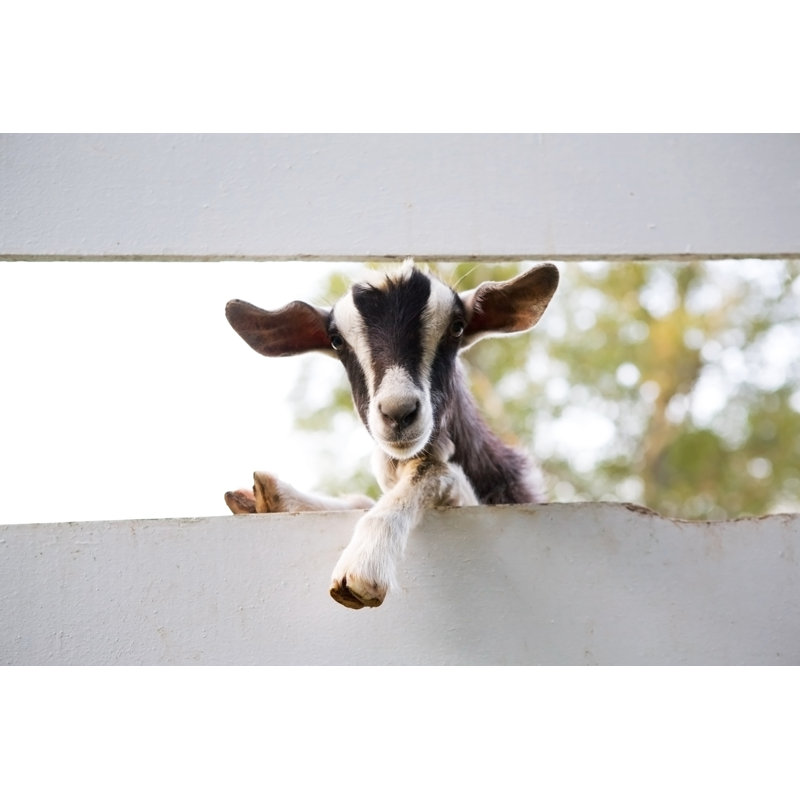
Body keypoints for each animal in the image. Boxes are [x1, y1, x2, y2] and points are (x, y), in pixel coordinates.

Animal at [224, 260, 559, 609]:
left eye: (457, 327)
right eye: (336, 340)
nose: (398, 412)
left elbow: (433, 469)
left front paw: (364, 562)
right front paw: (270, 497)